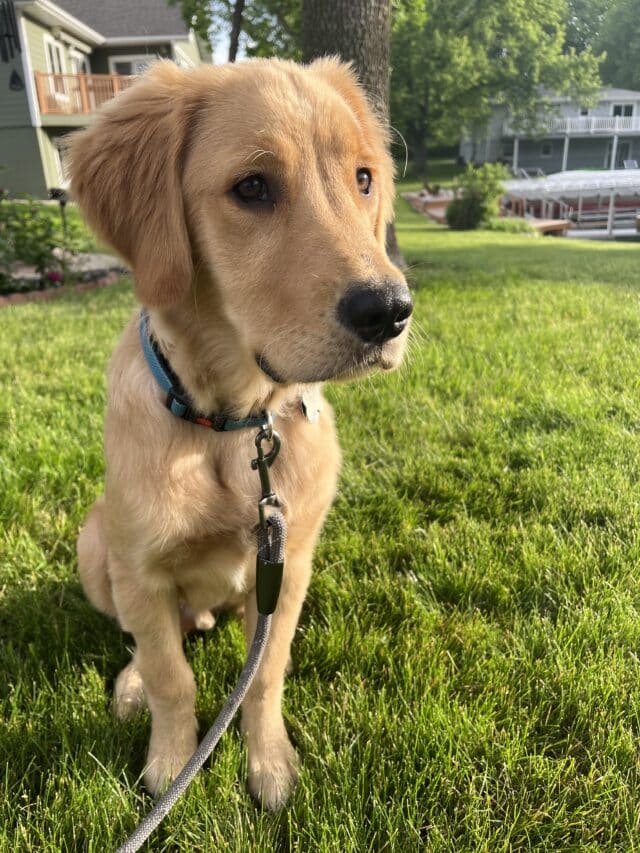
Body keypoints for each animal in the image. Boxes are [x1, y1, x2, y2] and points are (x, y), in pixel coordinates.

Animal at [69, 58, 410, 804]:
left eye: (363, 177)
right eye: (252, 187)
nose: (390, 310)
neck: (231, 423)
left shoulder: (288, 565)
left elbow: (265, 674)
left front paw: (269, 762)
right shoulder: (139, 566)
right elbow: (171, 675)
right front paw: (172, 761)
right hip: (94, 543)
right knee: (145, 640)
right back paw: (133, 681)